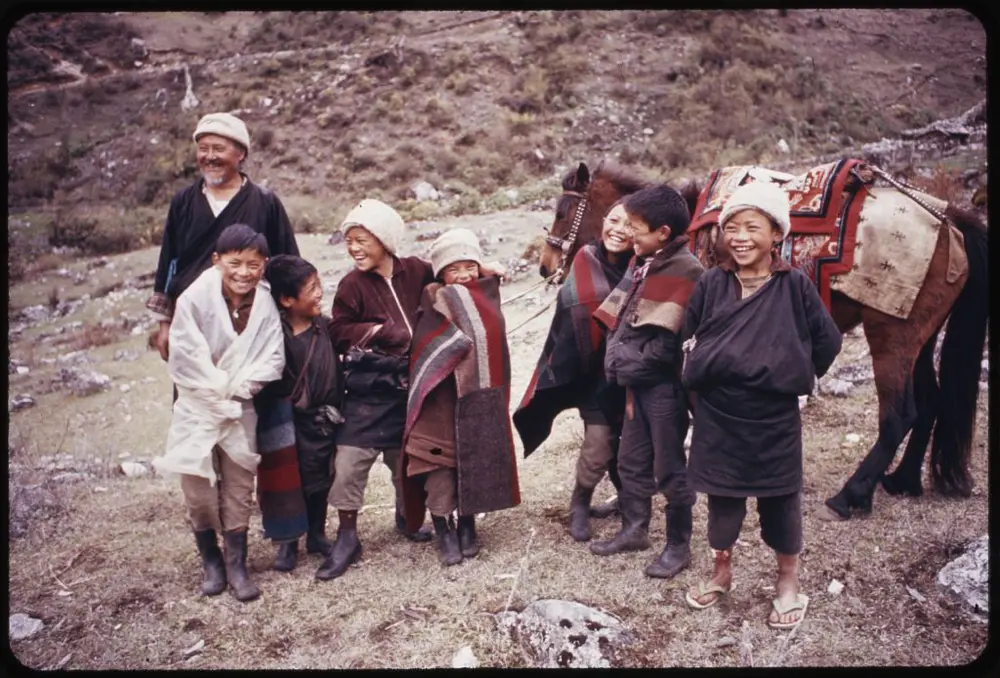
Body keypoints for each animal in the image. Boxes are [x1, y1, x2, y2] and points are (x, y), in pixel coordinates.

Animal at [540, 159, 984, 520]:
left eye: (562, 212)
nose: (546, 266)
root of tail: (950, 218)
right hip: (918, 337)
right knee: (929, 402)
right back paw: (902, 480)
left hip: (891, 334)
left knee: (899, 415)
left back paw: (850, 496)